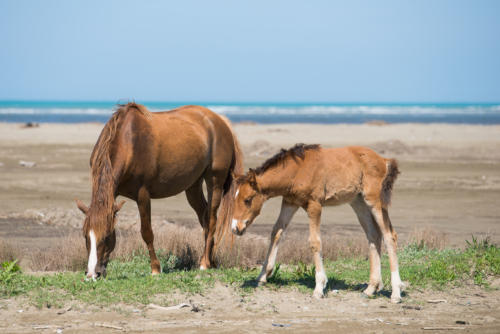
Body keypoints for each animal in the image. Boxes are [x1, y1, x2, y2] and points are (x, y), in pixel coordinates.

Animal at [74, 102, 244, 280]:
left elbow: (147, 232)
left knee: (211, 220)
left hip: (214, 182)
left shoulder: (142, 195)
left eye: (107, 236)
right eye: (85, 235)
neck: (128, 142)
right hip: (193, 186)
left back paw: (204, 264)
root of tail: (220, 121)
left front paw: (155, 268)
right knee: (204, 218)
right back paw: (211, 260)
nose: (92, 274)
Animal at [232, 144, 404, 302]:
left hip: (375, 201)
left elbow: (315, 242)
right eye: (235, 198)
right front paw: (262, 275)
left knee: (389, 236)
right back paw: (371, 288)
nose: (235, 228)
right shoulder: (289, 202)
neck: (298, 170)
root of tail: (384, 160)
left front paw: (319, 287)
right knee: (374, 235)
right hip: (358, 202)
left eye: (247, 200)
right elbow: (276, 232)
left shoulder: (314, 205)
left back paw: (396, 293)